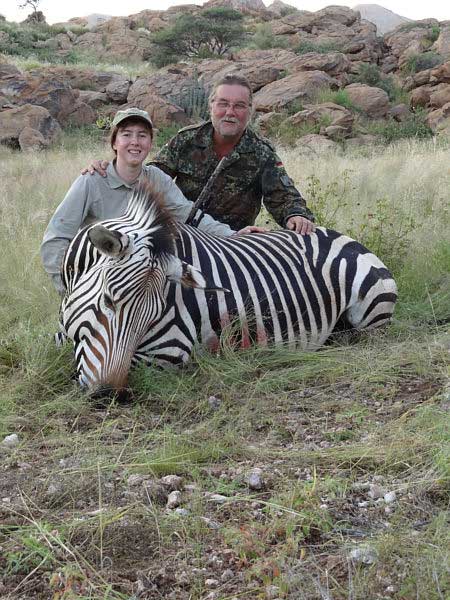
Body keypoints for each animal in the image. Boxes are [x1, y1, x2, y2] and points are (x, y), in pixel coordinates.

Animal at [59, 182, 398, 398]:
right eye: (108, 300)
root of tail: (343, 236)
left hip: (368, 314)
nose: (108, 394)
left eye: (153, 318)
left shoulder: (168, 350)